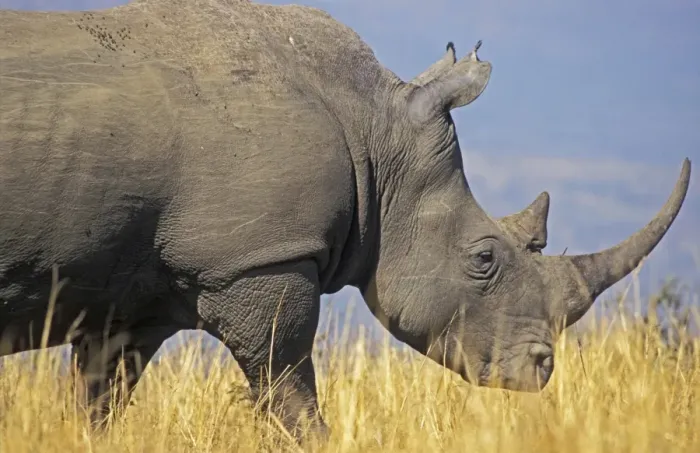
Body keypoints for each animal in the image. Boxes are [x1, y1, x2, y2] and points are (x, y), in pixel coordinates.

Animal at [0, 0, 692, 440]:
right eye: (483, 259)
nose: (542, 370)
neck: (374, 126)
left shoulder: (128, 298)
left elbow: (100, 402)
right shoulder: (259, 260)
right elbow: (287, 388)